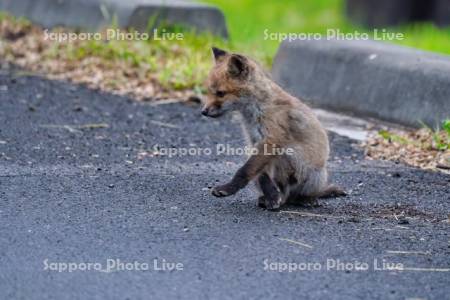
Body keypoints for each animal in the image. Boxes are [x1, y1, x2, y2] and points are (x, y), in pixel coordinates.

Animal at [202, 47, 346, 211]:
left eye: (220, 93)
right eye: (209, 91)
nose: (203, 111)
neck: (256, 109)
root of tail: (288, 196)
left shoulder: (272, 139)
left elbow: (244, 171)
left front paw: (228, 188)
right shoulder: (254, 142)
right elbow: (262, 176)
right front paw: (272, 196)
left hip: (309, 170)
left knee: (301, 195)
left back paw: (306, 199)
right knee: (280, 192)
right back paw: (271, 198)